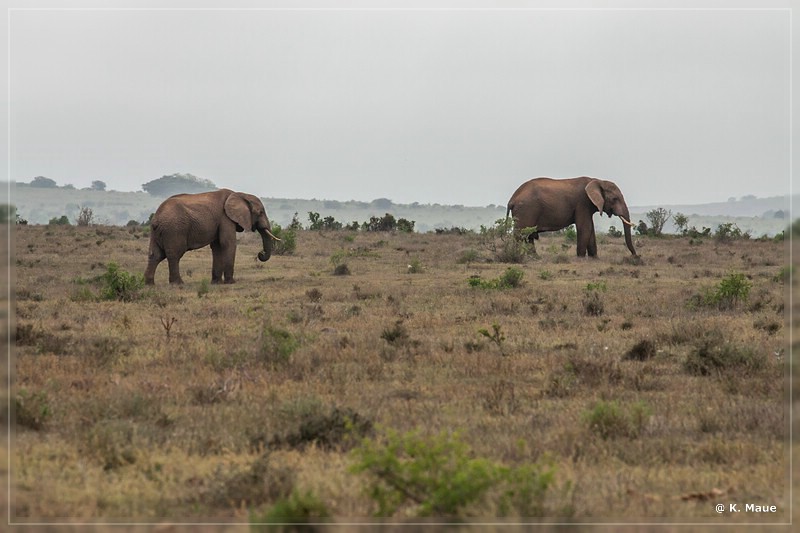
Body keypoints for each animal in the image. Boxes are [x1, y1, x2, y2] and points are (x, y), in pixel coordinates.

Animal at [145, 189, 282, 284]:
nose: (260, 254)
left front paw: (216, 283)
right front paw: (230, 283)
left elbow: (217, 246)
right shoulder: (225, 218)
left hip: (157, 231)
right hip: (174, 230)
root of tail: (156, 218)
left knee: (155, 255)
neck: (240, 194)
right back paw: (178, 283)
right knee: (174, 255)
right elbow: (228, 243)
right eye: (260, 212)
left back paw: (149, 284)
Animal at [506, 177, 636, 258]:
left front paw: (594, 258)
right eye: (615, 199)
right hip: (526, 210)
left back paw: (535, 258)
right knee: (520, 235)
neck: (597, 180)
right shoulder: (583, 203)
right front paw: (581, 258)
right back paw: (515, 256)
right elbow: (585, 228)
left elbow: (590, 229)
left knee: (529, 237)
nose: (636, 256)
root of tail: (512, 199)